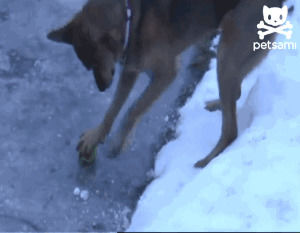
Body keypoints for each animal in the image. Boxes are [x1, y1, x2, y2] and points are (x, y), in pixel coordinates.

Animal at [48, 0, 284, 167]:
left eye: (94, 63)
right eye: (87, 66)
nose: (101, 87)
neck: (131, 18)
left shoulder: (165, 74)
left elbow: (134, 109)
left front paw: (117, 143)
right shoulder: (130, 71)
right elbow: (113, 109)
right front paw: (97, 136)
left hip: (227, 54)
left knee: (231, 131)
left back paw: (207, 161)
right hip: (232, 59)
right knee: (235, 95)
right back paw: (217, 105)